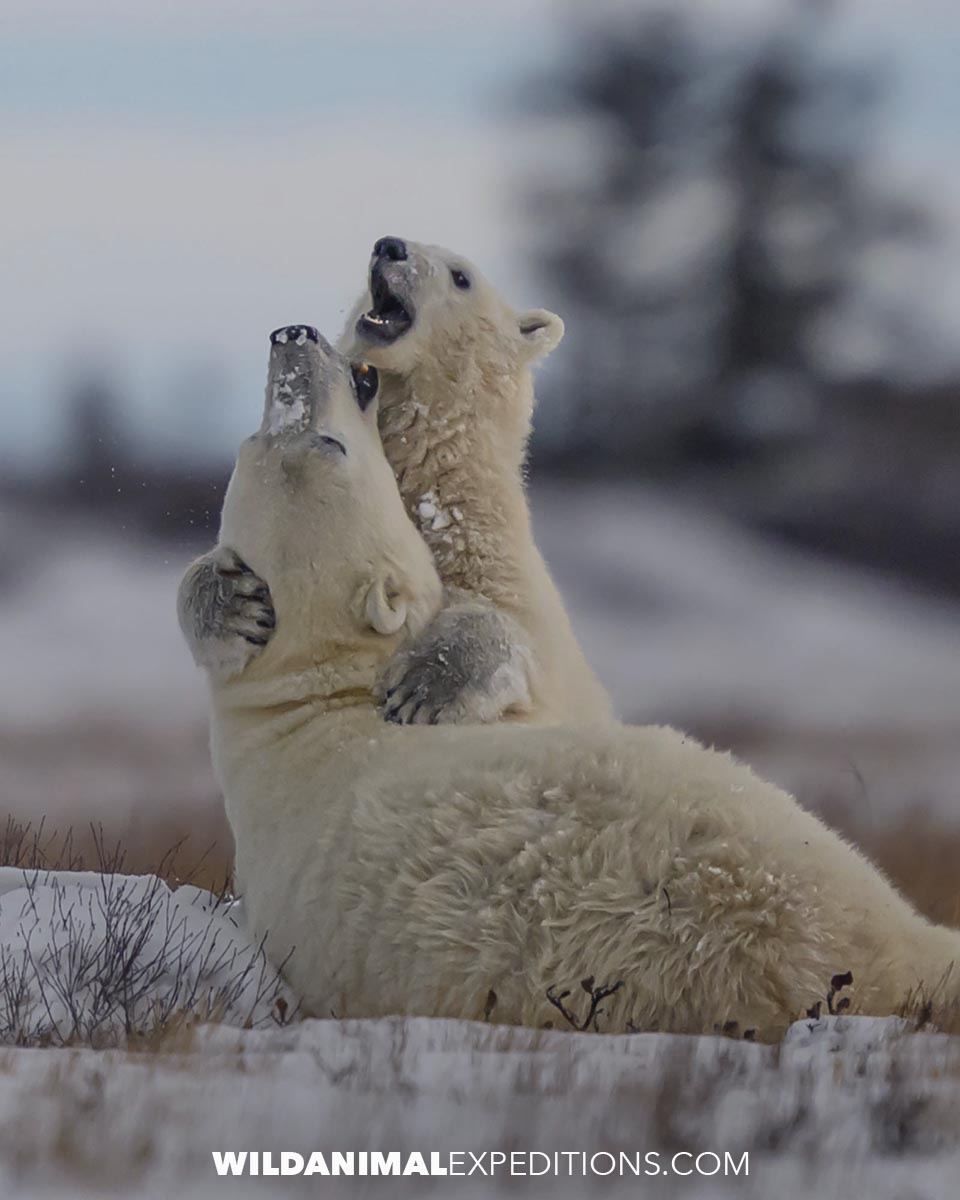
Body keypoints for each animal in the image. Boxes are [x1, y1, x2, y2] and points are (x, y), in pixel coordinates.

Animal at [179, 238, 612, 727]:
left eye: (461, 277)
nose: (389, 246)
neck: (433, 476)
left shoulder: (490, 560)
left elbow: (515, 634)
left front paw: (426, 686)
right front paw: (231, 606)